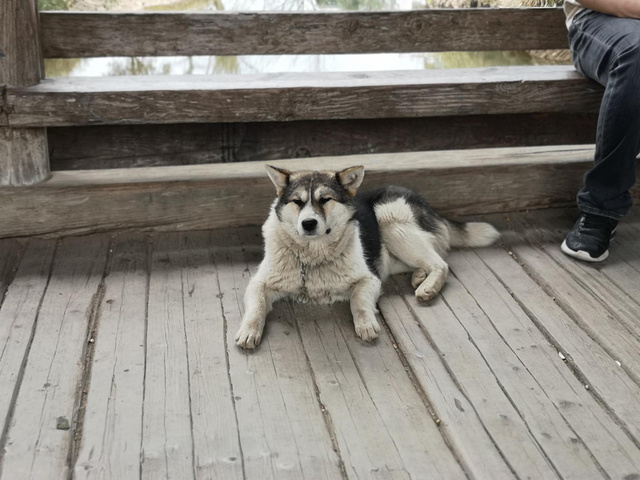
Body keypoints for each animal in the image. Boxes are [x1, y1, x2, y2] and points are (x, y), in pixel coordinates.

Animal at [235, 165, 500, 348]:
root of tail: (425, 203)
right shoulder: (259, 283)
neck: (312, 256)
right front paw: (248, 330)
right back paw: (419, 276)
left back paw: (428, 287)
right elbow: (257, 306)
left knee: (441, 263)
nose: (308, 223)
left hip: (388, 217)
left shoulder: (369, 279)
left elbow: (359, 302)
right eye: (297, 202)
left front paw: (366, 323)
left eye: (325, 199)